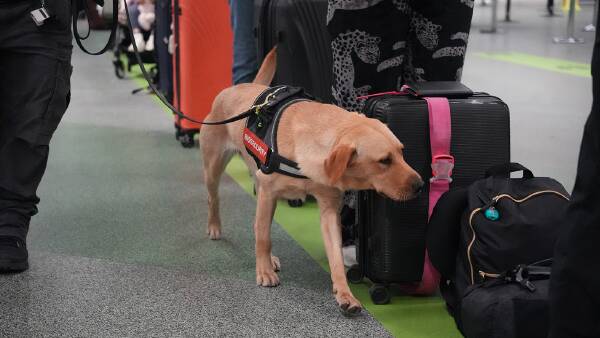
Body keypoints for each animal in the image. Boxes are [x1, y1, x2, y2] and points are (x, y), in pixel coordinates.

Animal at [199, 48, 424, 314]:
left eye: (401, 152)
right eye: (384, 160)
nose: (420, 185)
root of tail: (239, 86)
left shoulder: (329, 209)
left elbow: (336, 257)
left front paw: (345, 294)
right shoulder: (268, 194)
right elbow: (263, 237)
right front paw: (263, 272)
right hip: (215, 168)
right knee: (216, 201)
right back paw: (216, 228)